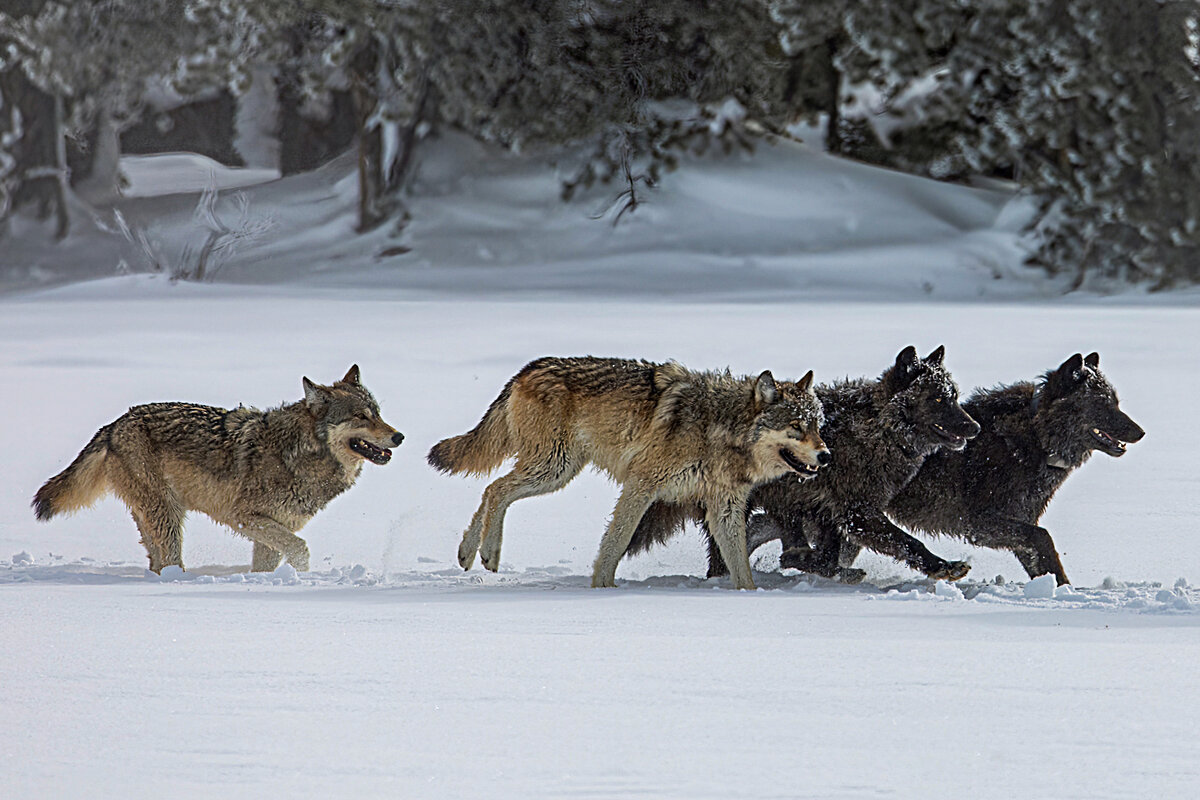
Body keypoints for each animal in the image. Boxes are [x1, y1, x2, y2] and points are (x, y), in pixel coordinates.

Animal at [31, 367, 403, 573]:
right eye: (360, 416)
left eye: (378, 413)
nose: (399, 436)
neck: (299, 452)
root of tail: (114, 424)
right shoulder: (246, 517)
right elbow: (300, 549)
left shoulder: (272, 528)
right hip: (168, 515)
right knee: (169, 562)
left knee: (156, 563)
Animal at [422, 357, 825, 587]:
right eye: (795, 427)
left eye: (817, 424)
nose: (825, 456)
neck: (718, 427)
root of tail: (528, 368)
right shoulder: (641, 485)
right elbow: (615, 543)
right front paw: (603, 589)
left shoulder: (724, 508)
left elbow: (740, 566)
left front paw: (750, 596)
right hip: (553, 469)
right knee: (496, 488)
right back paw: (487, 552)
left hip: (557, 470)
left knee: (493, 488)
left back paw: (469, 553)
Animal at [633, 347, 979, 585]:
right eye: (937, 400)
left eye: (954, 396)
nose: (974, 427)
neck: (878, 430)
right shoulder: (856, 514)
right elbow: (908, 542)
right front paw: (943, 568)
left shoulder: (826, 512)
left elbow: (827, 553)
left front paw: (812, 563)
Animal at [888, 352, 1147, 585]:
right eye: (1102, 404)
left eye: (1115, 403)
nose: (1141, 432)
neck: (1038, 437)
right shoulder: (978, 523)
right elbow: (1043, 538)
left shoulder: (1019, 521)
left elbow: (1041, 559)